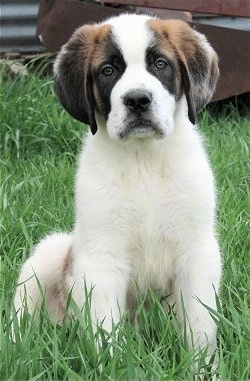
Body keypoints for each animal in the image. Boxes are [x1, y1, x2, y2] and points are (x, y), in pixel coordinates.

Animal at [14, 13, 221, 360]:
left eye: (160, 64)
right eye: (108, 71)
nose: (137, 100)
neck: (143, 161)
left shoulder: (197, 252)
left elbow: (200, 326)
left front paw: (202, 367)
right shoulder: (102, 258)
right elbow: (106, 330)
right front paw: (115, 364)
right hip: (50, 251)